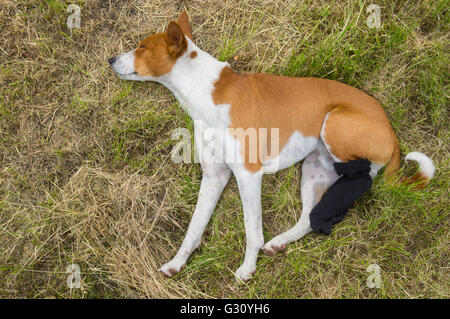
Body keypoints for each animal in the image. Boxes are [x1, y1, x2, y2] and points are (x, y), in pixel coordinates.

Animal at [107, 11, 434, 284]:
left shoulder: (248, 174)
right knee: (308, 217)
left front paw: (247, 268)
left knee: (361, 177)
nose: (110, 59)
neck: (205, 94)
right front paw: (177, 263)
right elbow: (194, 228)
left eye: (141, 47)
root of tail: (390, 131)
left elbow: (252, 230)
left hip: (335, 122)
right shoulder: (214, 177)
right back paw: (282, 240)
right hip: (316, 168)